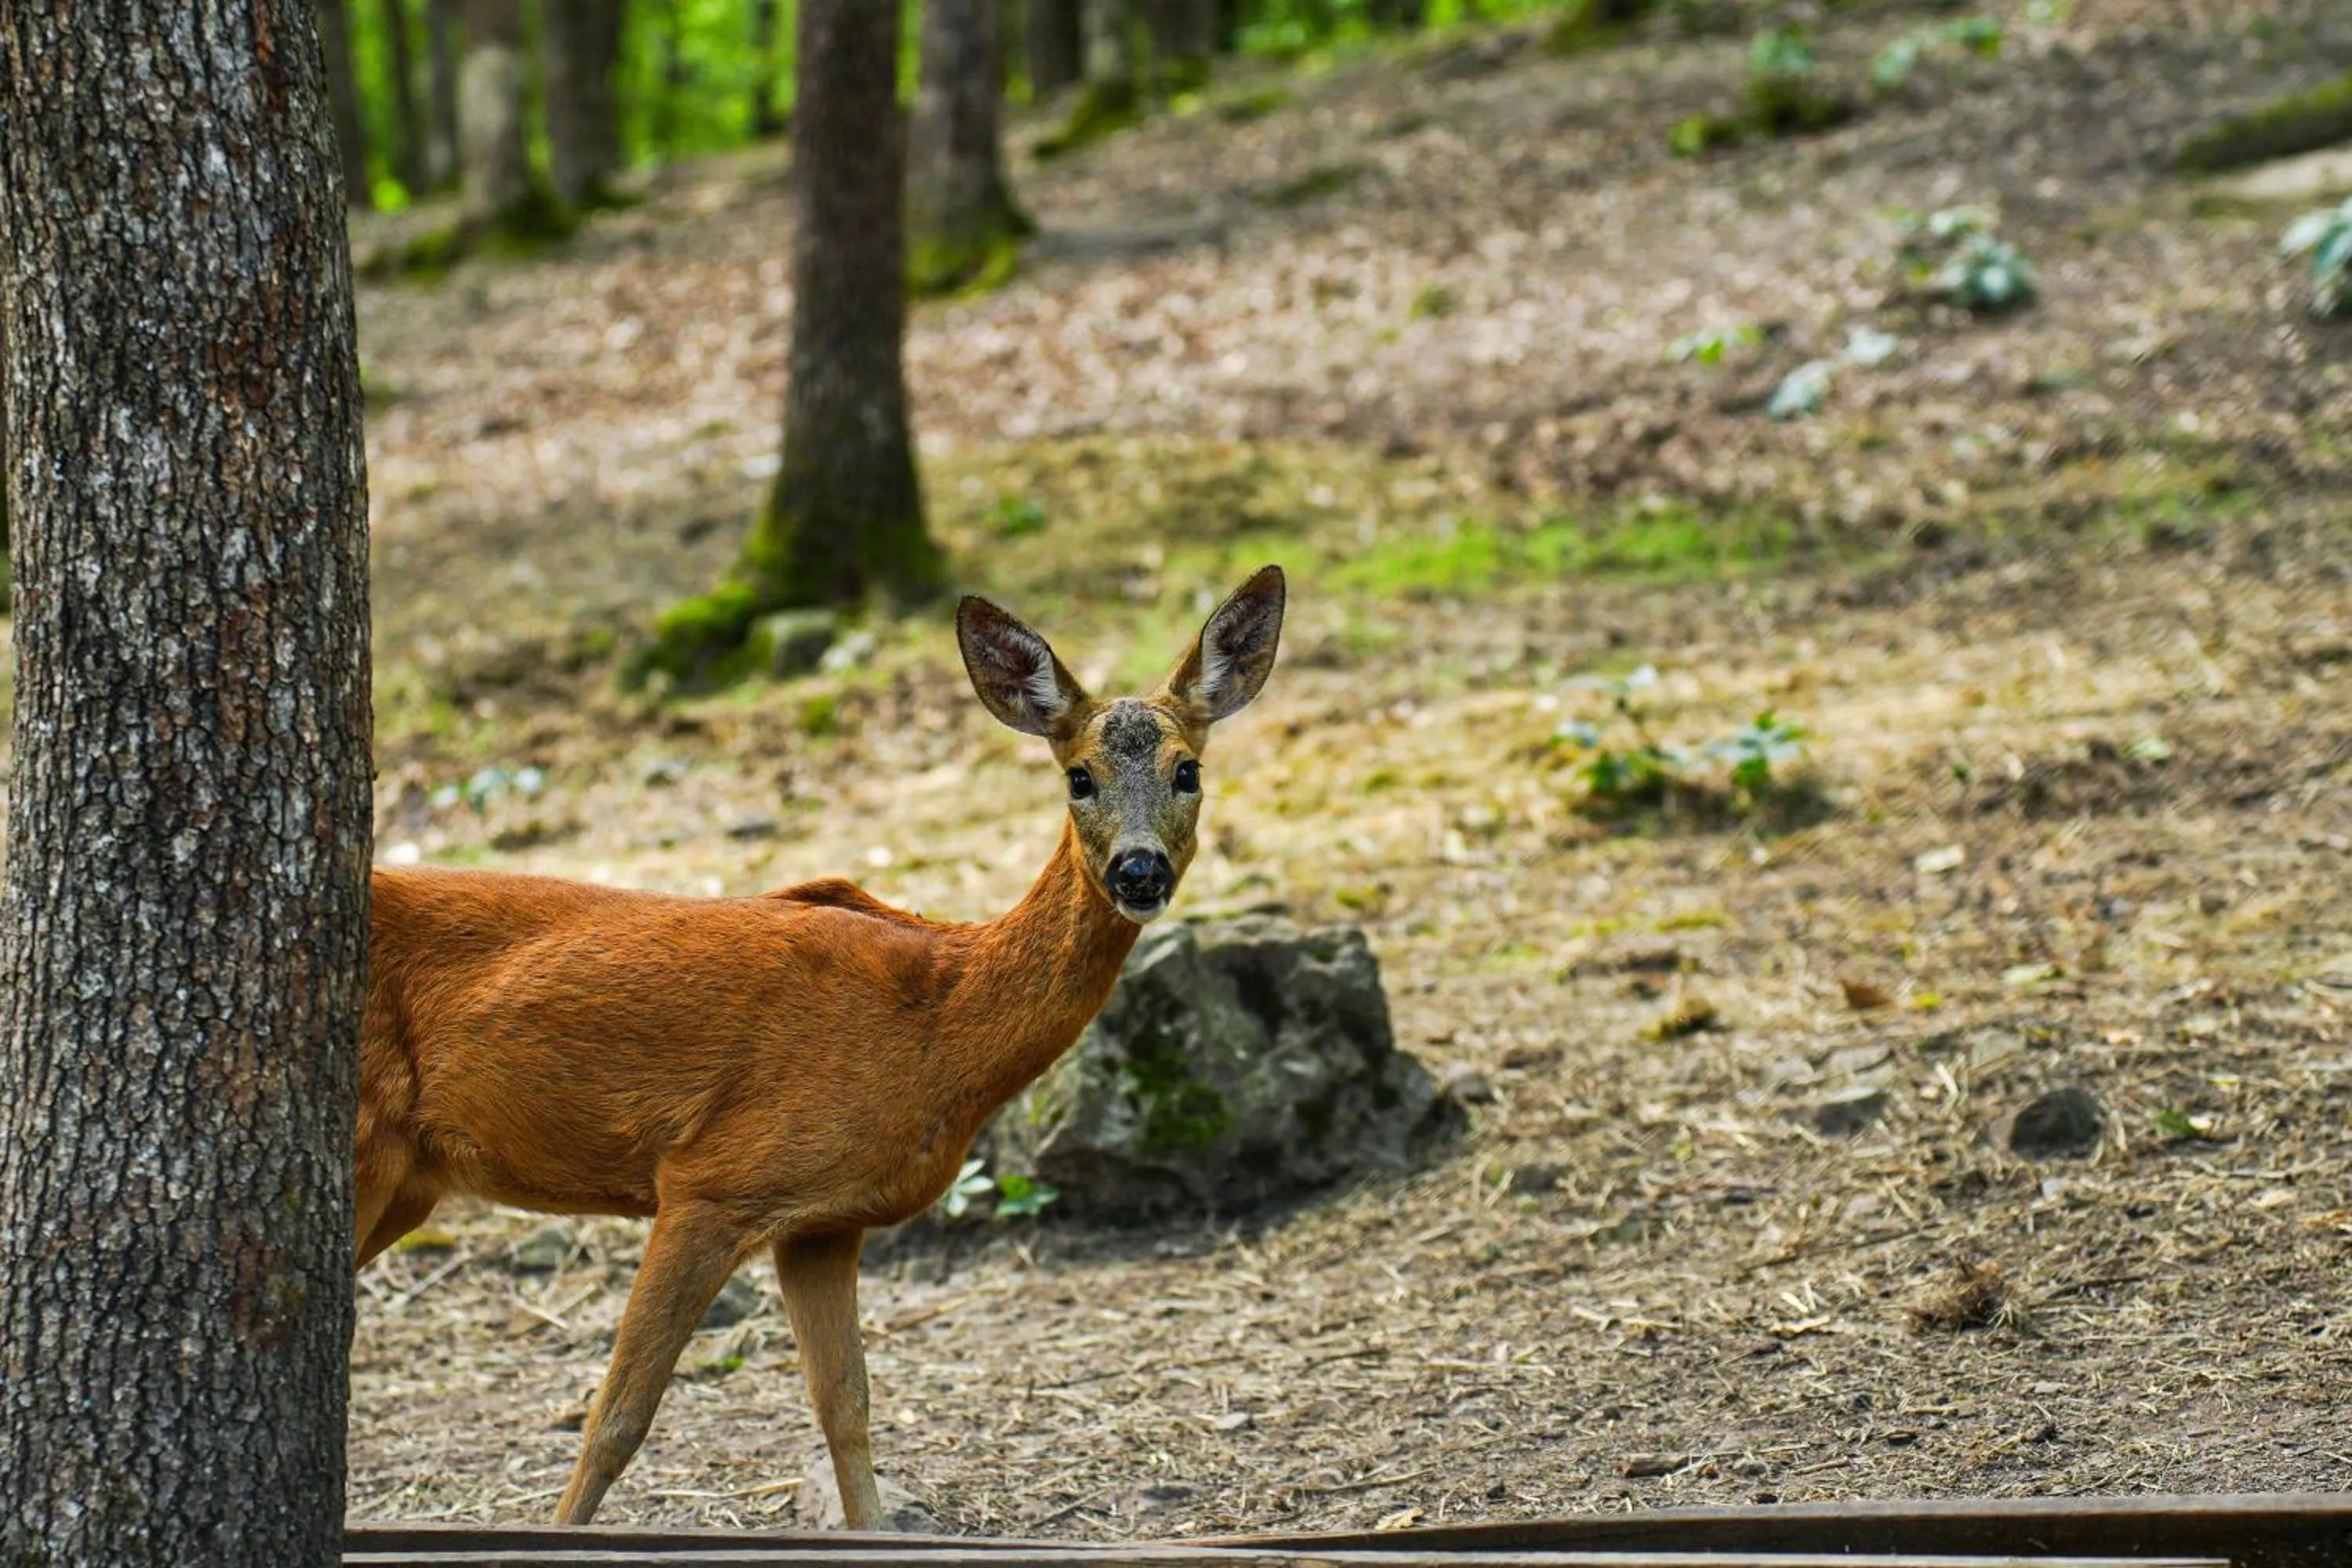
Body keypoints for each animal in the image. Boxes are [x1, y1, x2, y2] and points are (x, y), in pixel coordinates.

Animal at [356, 567, 1286, 1529]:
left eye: (1188, 769)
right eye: (1079, 776)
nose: (1139, 871)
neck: (936, 1028)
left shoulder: (823, 1220)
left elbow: (846, 1405)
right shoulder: (710, 1179)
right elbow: (616, 1419)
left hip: (411, 1182)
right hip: (363, 1139)